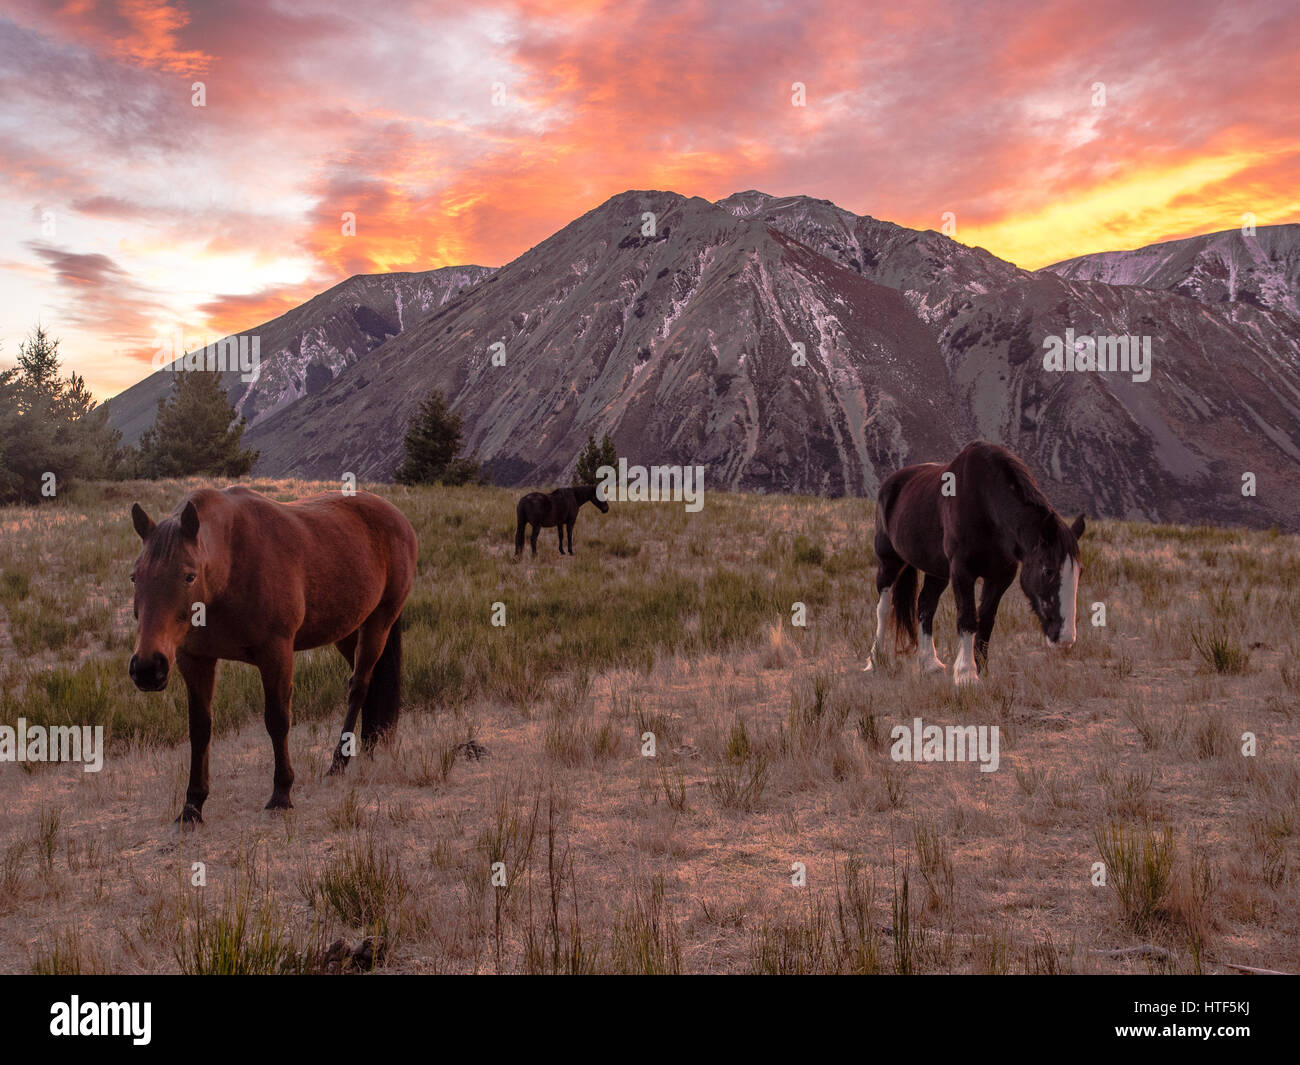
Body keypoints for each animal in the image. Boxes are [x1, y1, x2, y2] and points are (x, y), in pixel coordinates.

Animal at [127, 486, 416, 821]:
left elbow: (277, 720)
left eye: (189, 576)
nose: (147, 668)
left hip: (379, 621)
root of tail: (396, 515)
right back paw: (368, 746)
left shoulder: (276, 653)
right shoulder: (195, 660)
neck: (230, 568)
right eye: (135, 577)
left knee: (359, 687)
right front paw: (192, 806)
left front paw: (281, 793)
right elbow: (199, 729)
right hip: (348, 630)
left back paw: (337, 764)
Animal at [863, 444, 1086, 686]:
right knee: (884, 609)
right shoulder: (962, 571)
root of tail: (890, 482)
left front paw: (982, 669)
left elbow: (986, 619)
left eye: (1079, 572)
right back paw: (874, 660)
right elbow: (968, 617)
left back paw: (930, 663)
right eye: (1047, 570)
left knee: (925, 605)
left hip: (937, 571)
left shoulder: (1001, 575)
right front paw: (966, 674)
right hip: (889, 561)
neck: (985, 503)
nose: (1065, 638)